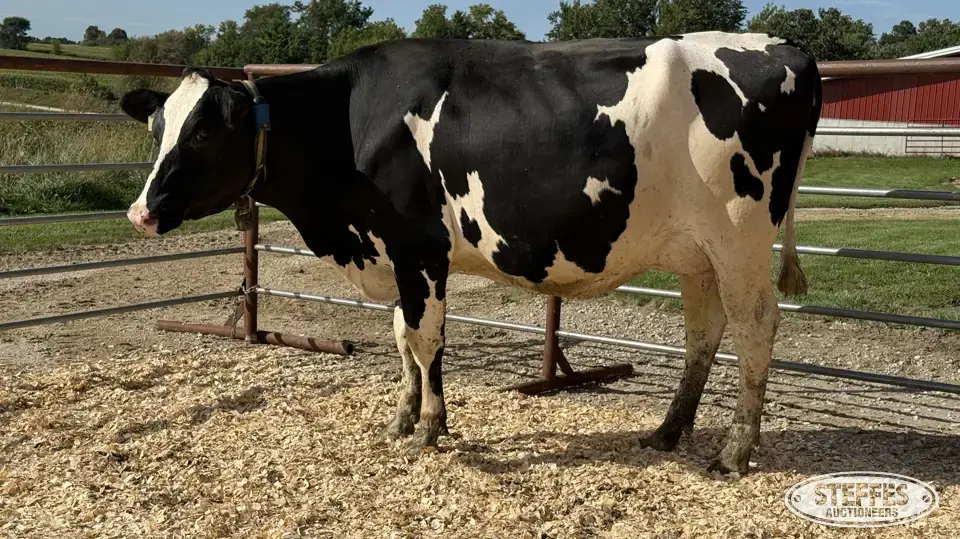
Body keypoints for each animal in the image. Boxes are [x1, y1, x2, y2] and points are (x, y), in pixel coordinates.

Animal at [118, 31, 822, 475]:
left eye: (203, 132)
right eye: (157, 128)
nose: (140, 212)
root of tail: (781, 44)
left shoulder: (418, 248)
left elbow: (424, 338)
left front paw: (430, 428)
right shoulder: (393, 256)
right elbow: (401, 337)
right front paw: (403, 419)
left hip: (739, 239)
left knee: (756, 328)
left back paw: (734, 453)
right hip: (697, 252)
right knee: (705, 331)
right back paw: (669, 431)